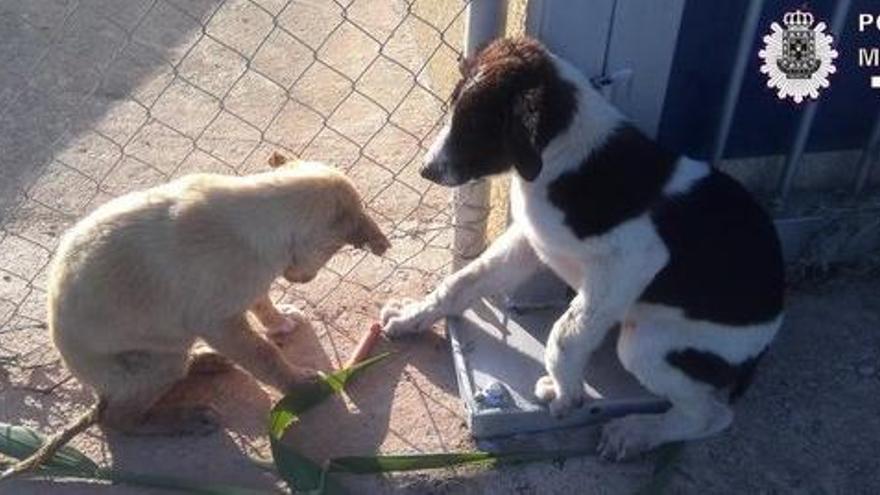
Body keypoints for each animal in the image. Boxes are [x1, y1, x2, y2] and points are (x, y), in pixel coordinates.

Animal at [46, 160, 386, 438]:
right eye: (333, 251)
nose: (303, 280)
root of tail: (93, 386)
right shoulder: (220, 323)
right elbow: (265, 355)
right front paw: (299, 386)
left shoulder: (248, 286)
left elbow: (262, 302)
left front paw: (280, 322)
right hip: (156, 362)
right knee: (118, 418)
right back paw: (185, 418)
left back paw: (205, 360)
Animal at [380, 37, 784, 462]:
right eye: (453, 106)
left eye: (476, 126)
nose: (426, 170)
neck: (563, 156)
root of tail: (765, 341)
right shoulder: (531, 238)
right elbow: (462, 282)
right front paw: (412, 315)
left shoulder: (635, 258)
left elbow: (565, 333)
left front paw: (566, 393)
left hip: (646, 344)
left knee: (711, 415)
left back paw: (637, 432)